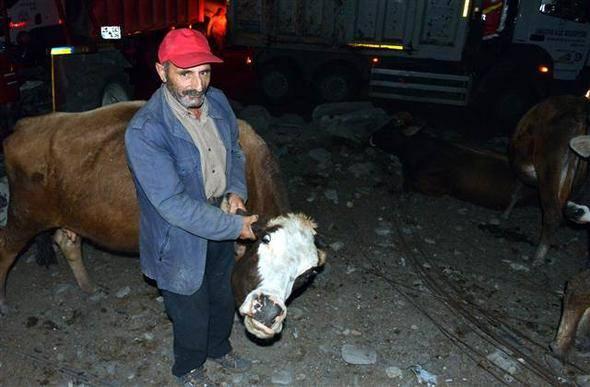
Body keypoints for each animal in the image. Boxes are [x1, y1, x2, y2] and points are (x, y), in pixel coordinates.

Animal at [0, 101, 326, 342]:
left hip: (71, 213)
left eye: (306, 275)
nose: (267, 313)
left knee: (67, 241)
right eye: (263, 243)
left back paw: (89, 287)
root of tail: (27, 124)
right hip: (25, 214)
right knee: (6, 249)